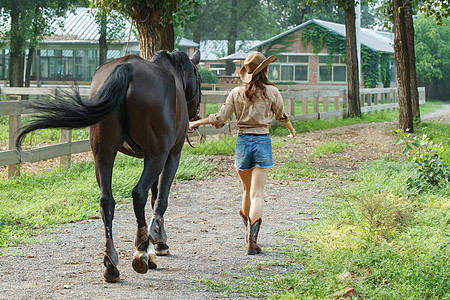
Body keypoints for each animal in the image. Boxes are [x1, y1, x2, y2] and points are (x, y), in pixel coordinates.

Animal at [15, 49, 201, 282]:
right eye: (199, 78)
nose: (196, 115)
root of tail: (127, 68)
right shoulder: (171, 156)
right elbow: (159, 200)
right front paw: (157, 243)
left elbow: (154, 196)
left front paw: (155, 242)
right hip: (155, 155)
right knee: (138, 194)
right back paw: (141, 249)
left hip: (103, 154)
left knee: (106, 201)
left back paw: (111, 263)